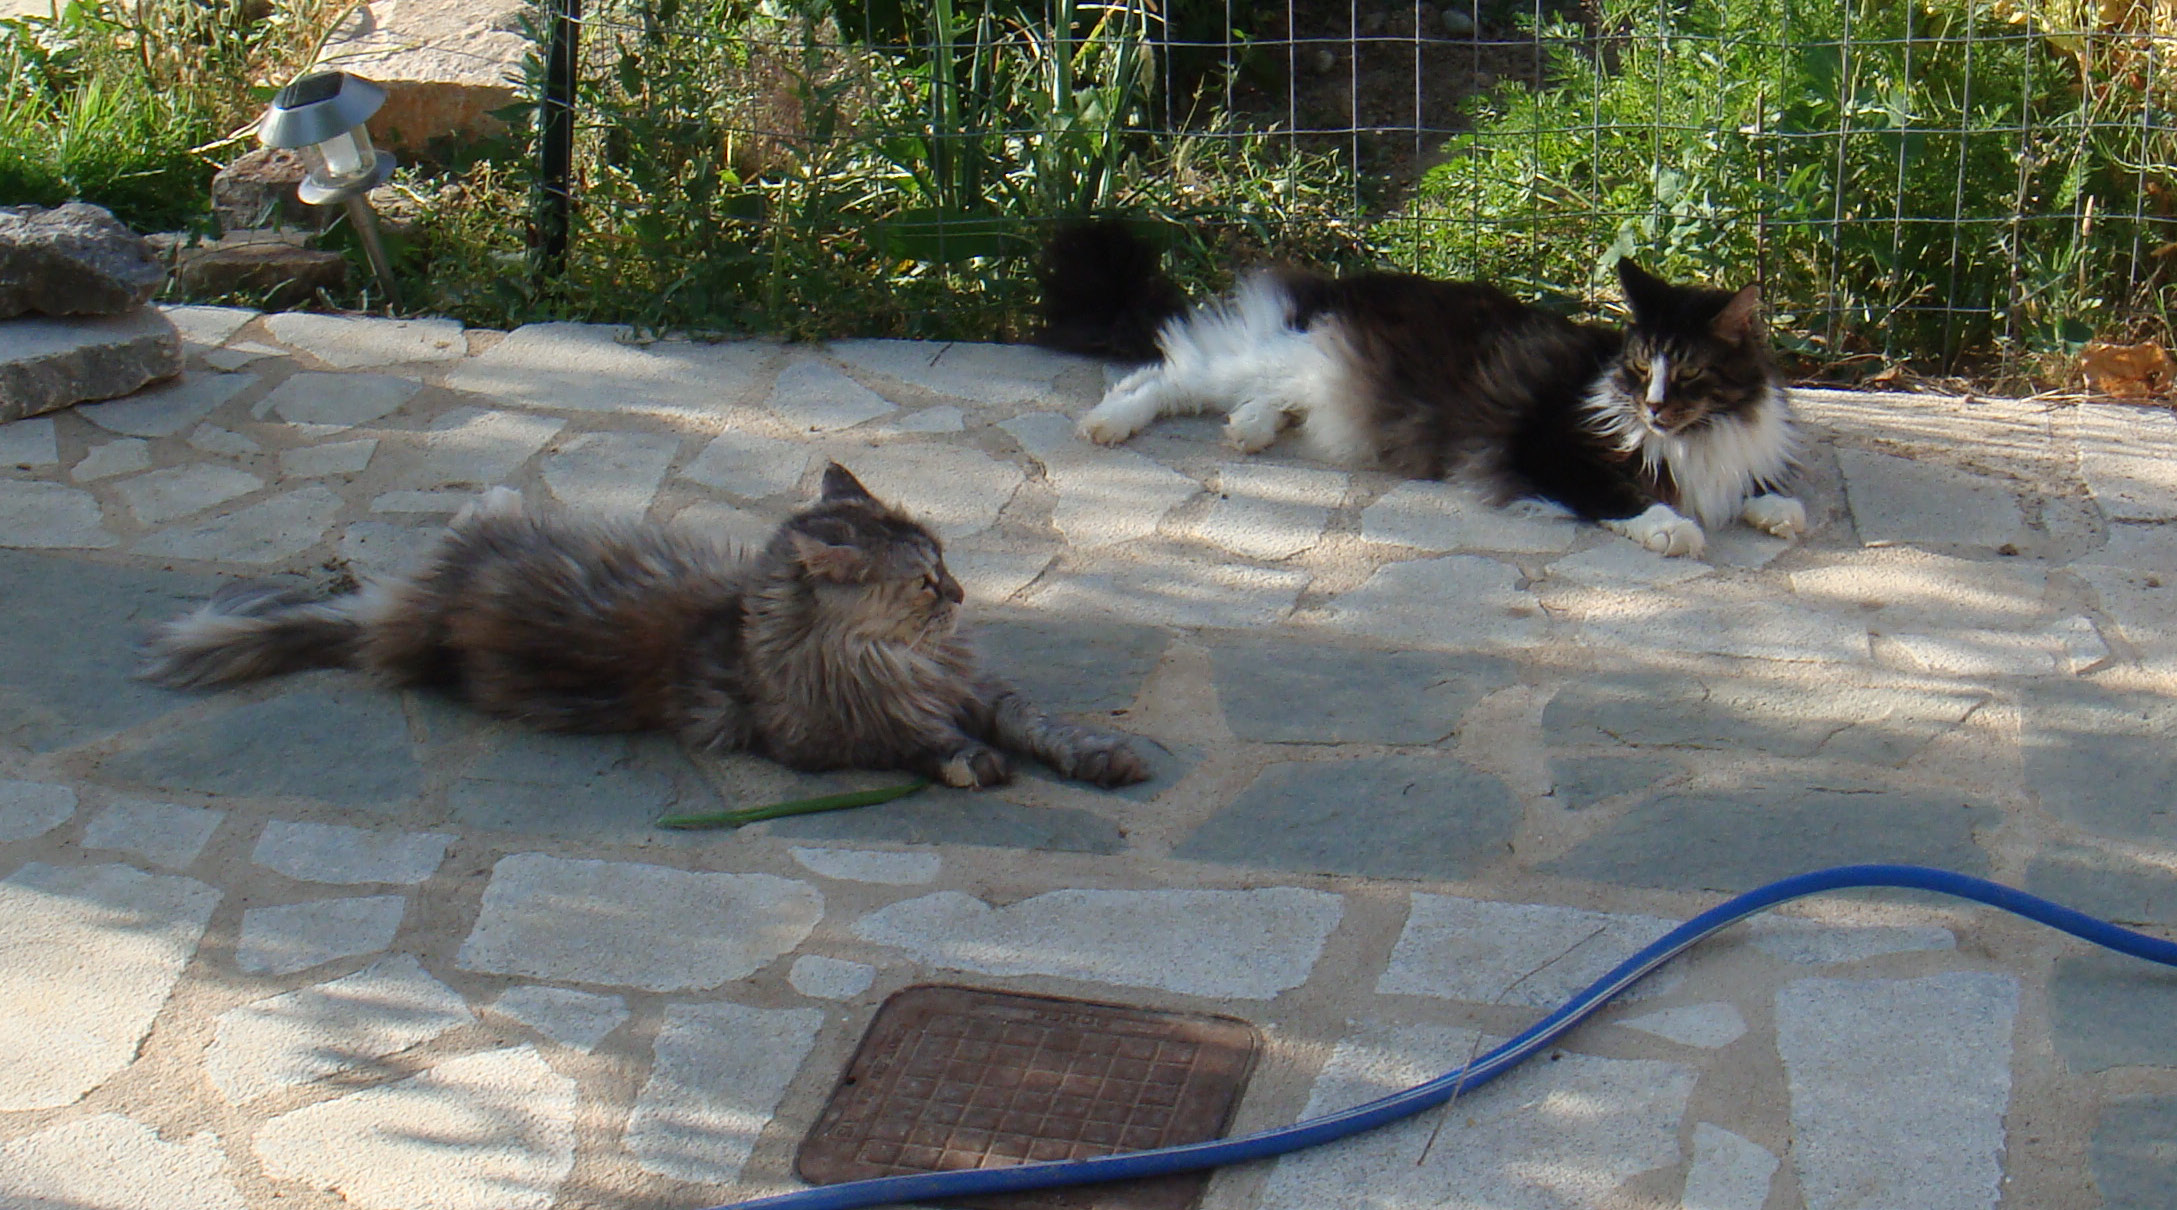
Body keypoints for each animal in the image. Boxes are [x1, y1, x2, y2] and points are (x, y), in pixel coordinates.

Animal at [137, 463, 1151, 790]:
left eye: (945, 566)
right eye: (925, 582)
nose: (964, 596)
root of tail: (422, 611)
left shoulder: (979, 687)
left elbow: (1038, 725)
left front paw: (1099, 757)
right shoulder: (814, 744)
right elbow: (918, 745)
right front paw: (969, 762)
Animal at [1039, 223, 1805, 558]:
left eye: (1690, 372)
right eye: (1643, 366)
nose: (1651, 406)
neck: (1697, 433)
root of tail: (1333, 286)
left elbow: (1759, 484)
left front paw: (1780, 511)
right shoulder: (1550, 450)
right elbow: (1624, 496)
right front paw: (1673, 528)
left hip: (1305, 373)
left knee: (1266, 398)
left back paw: (1248, 430)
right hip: (1262, 357)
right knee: (1164, 371)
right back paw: (1108, 423)